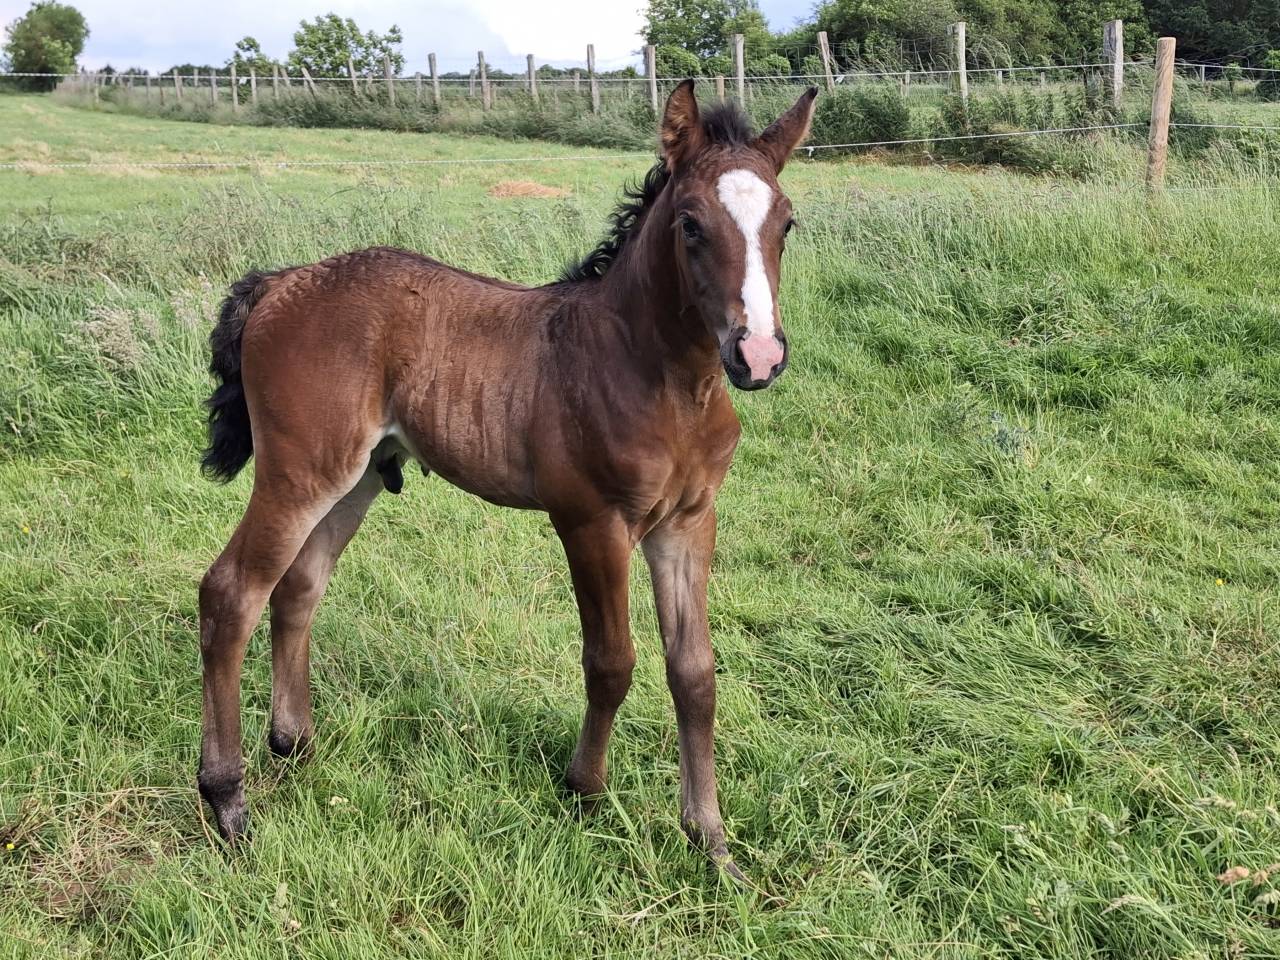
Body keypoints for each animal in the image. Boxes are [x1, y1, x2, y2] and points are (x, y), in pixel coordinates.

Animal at [196, 80, 818, 876]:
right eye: (690, 224)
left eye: (787, 223)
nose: (758, 355)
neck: (662, 377)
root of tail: (280, 282)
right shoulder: (591, 521)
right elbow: (612, 661)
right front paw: (585, 790)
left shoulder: (688, 522)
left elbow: (696, 674)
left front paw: (710, 841)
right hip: (300, 470)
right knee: (231, 593)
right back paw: (227, 801)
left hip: (355, 477)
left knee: (299, 587)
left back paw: (295, 743)